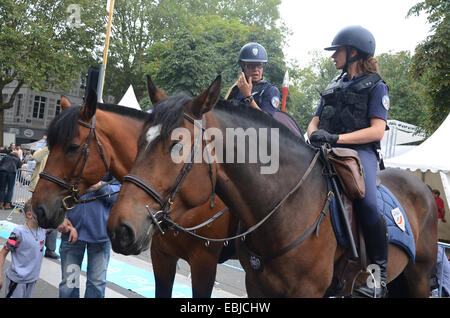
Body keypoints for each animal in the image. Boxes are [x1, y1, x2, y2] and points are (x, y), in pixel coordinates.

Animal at [107, 76, 438, 296]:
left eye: (177, 145)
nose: (119, 228)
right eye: (139, 141)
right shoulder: (253, 285)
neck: (287, 208)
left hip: (419, 277)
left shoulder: (206, 265)